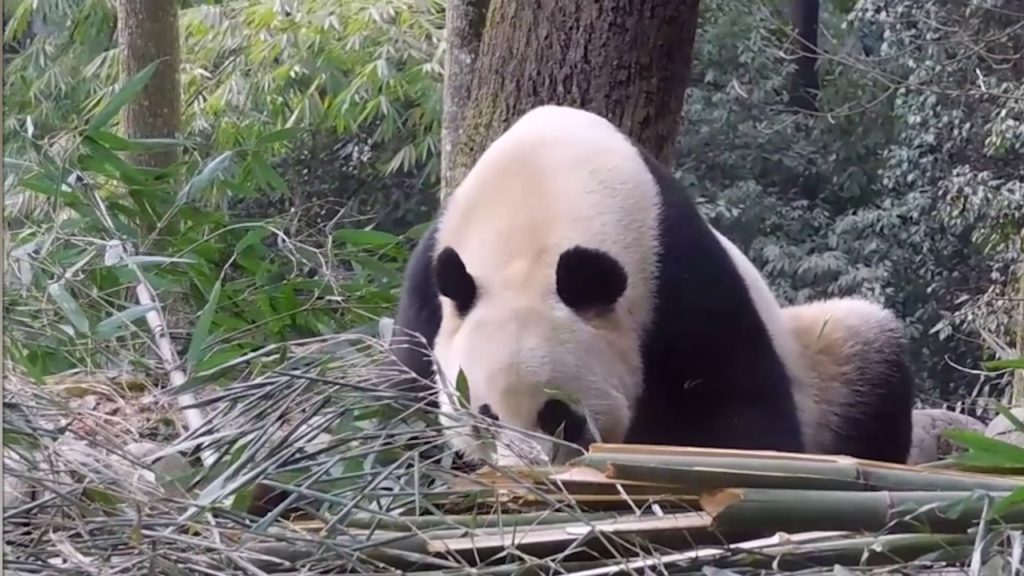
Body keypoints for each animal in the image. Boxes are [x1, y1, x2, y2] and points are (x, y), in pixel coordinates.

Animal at [388, 104, 912, 469]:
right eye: (486, 416)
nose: (527, 471)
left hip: (826, 368)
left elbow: (734, 404)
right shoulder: (430, 289)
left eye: (558, 413)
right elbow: (403, 404)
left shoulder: (678, 273)